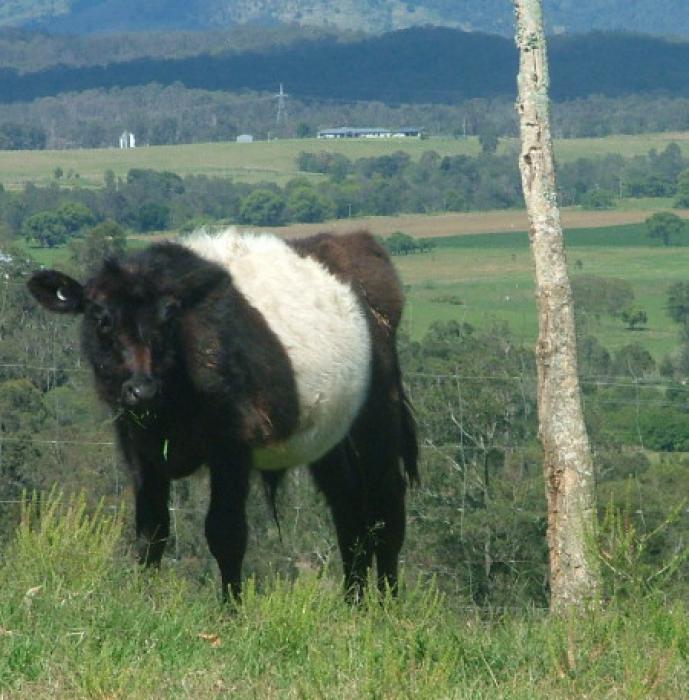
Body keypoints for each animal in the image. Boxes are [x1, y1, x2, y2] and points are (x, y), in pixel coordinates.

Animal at [28, 227, 420, 600]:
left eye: (169, 317)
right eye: (101, 318)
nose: (141, 389)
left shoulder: (232, 445)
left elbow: (225, 532)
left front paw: (230, 610)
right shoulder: (138, 447)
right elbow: (151, 531)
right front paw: (142, 599)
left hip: (376, 421)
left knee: (386, 509)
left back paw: (386, 604)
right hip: (331, 440)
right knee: (349, 511)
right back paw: (353, 602)